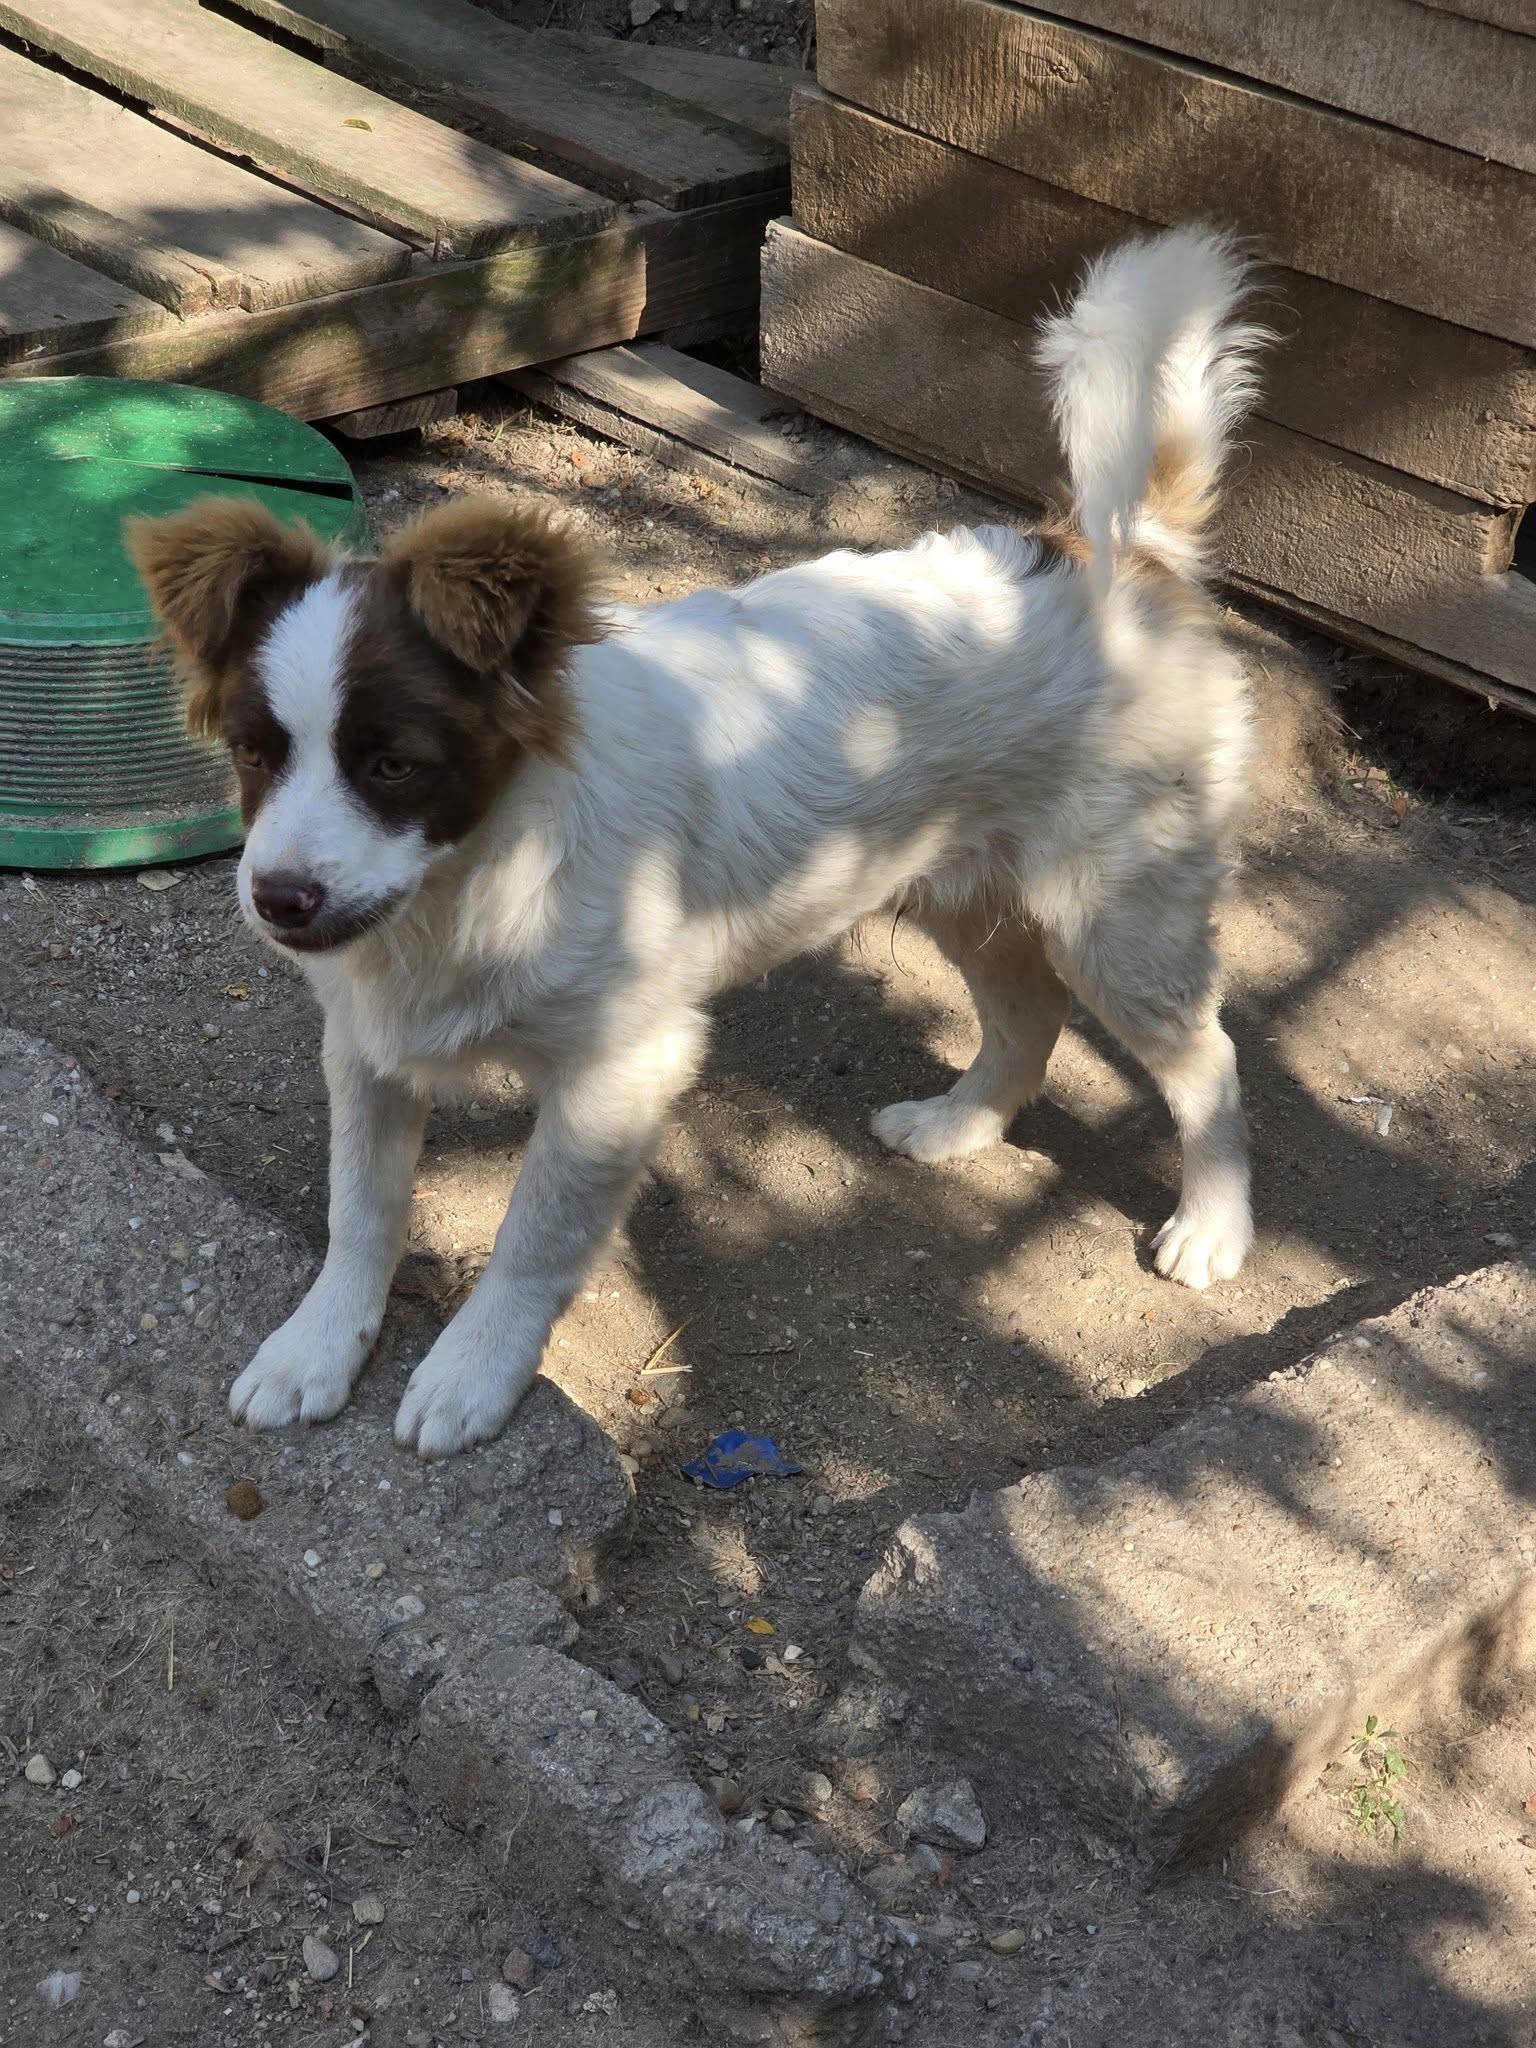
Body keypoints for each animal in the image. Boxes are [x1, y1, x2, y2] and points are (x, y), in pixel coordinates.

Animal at [127, 226, 1264, 1459]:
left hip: (1119, 916)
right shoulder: (367, 1045)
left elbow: (532, 1239)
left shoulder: (621, 1067)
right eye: (255, 755)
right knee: (1028, 1012)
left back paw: (1213, 1226)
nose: (279, 900)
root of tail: (1119, 557)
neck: (474, 879)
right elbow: (360, 1210)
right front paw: (319, 1343)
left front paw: (475, 1369)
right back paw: (961, 1125)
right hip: (963, 888)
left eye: (394, 766)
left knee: (1207, 1058)